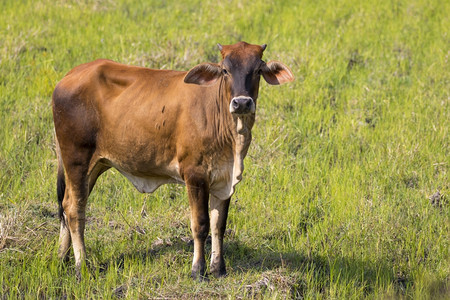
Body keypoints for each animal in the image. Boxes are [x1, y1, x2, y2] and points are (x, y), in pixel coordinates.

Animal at [52, 41, 294, 280]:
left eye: (258, 70)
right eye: (225, 70)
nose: (242, 103)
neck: (231, 133)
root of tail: (70, 75)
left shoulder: (224, 178)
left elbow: (219, 225)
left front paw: (219, 268)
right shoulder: (195, 175)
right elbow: (201, 224)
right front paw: (198, 270)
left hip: (94, 165)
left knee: (67, 204)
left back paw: (62, 258)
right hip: (77, 159)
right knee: (75, 209)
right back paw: (81, 267)